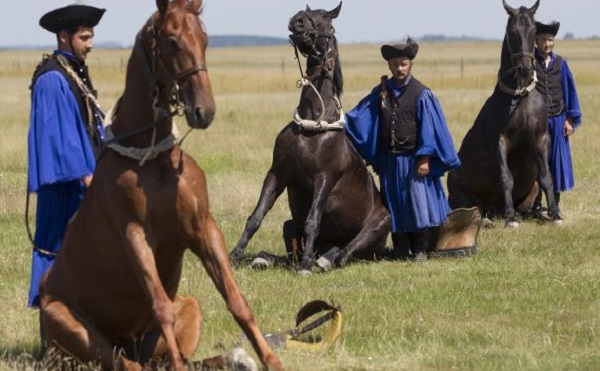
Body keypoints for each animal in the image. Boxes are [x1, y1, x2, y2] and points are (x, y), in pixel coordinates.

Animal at [39, 1, 284, 370]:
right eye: (171, 41)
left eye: (205, 39)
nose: (204, 110)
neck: (153, 159)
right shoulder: (135, 236)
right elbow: (161, 308)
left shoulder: (203, 228)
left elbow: (236, 300)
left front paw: (269, 359)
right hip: (73, 327)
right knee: (127, 363)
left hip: (188, 308)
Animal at [227, 2, 392, 276]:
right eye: (307, 11)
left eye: (324, 16)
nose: (297, 20)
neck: (312, 123)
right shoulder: (277, 172)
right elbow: (256, 217)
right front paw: (234, 256)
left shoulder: (324, 177)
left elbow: (313, 221)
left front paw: (305, 267)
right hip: (289, 226)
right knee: (292, 251)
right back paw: (265, 258)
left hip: (376, 228)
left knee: (343, 253)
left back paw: (321, 260)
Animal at [448, 0, 560, 230]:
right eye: (512, 31)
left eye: (533, 30)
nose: (525, 69)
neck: (520, 96)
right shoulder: (499, 140)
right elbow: (505, 177)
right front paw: (510, 219)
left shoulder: (542, 138)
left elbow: (546, 177)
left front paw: (555, 214)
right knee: (473, 210)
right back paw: (490, 218)